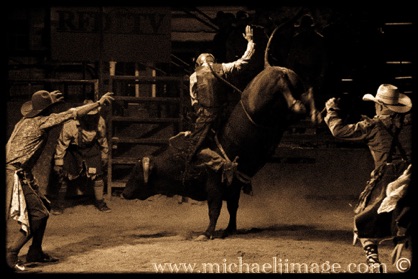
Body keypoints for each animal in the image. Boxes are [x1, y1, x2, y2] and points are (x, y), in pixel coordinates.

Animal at [121, 23, 324, 241]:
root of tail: (270, 66)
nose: (123, 193)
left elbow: (215, 211)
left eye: (135, 172)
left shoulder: (215, 189)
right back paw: (313, 105)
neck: (180, 161)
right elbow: (233, 208)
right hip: (284, 115)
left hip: (269, 98)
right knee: (301, 99)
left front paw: (207, 233)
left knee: (287, 92)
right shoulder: (233, 188)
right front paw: (229, 229)